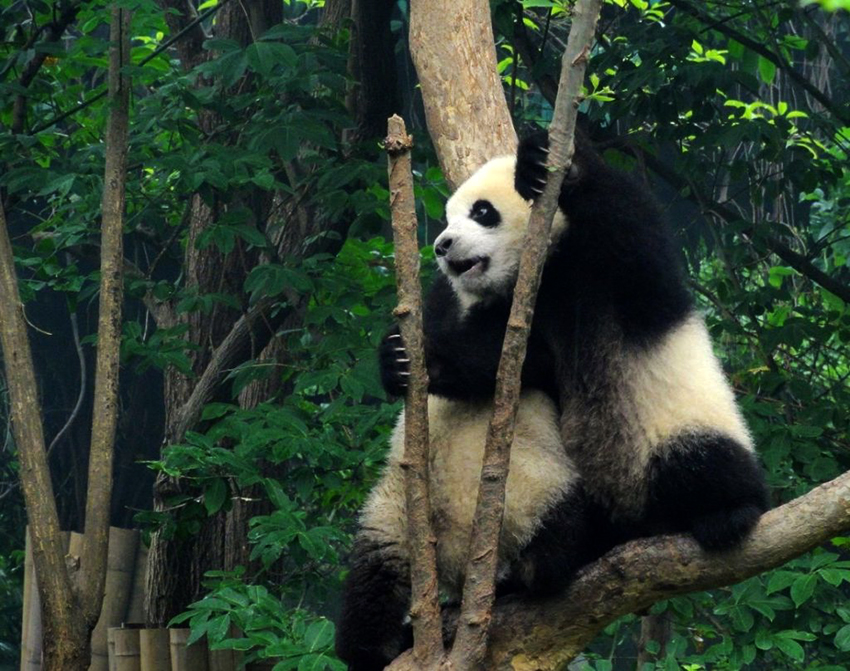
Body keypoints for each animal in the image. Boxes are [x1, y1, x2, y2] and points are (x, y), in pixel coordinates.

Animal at [380, 131, 764, 556]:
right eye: (449, 218)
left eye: (482, 212)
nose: (443, 245)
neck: (548, 261)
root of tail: (637, 521)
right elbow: (506, 361)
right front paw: (402, 359)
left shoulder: (612, 267)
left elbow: (628, 227)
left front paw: (547, 161)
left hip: (672, 425)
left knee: (704, 459)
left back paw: (728, 513)